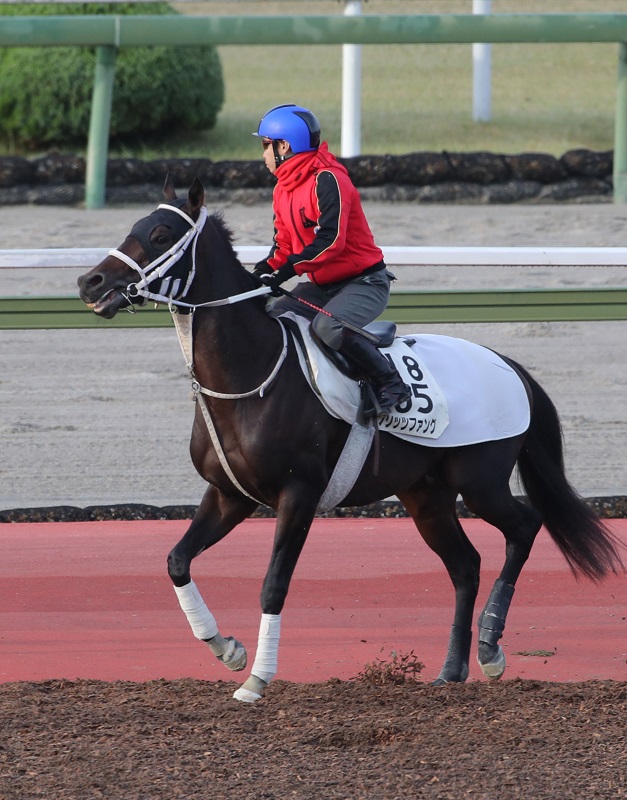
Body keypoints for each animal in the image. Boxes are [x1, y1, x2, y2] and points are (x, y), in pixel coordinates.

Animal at [77, 178, 624, 704]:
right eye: (134, 225)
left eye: (160, 234)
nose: (90, 281)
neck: (251, 374)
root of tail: (508, 364)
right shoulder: (229, 494)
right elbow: (177, 560)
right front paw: (226, 648)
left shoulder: (298, 494)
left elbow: (273, 585)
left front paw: (256, 679)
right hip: (426, 496)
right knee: (466, 565)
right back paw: (452, 669)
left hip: (480, 481)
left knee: (524, 526)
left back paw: (490, 647)